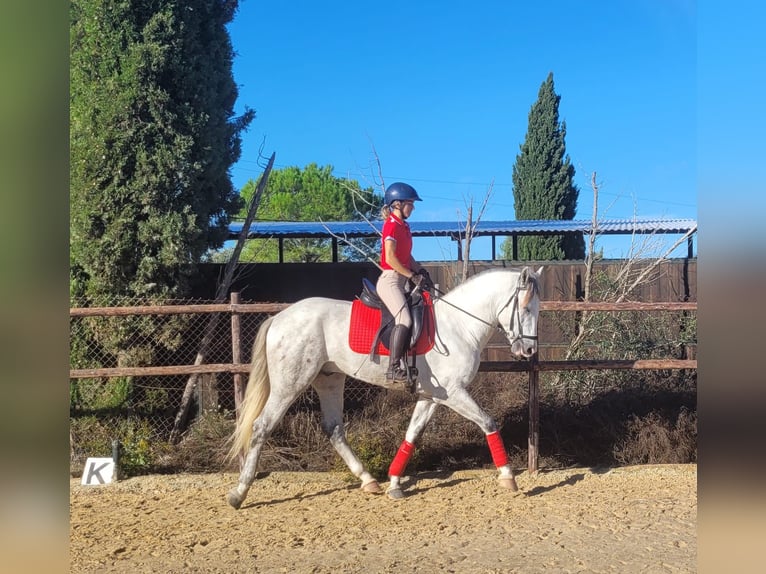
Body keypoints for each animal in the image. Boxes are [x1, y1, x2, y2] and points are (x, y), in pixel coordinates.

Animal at [225, 266, 544, 508]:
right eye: (526, 307)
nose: (529, 350)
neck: (459, 325)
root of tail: (279, 317)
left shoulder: (433, 397)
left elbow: (412, 434)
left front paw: (394, 482)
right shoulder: (453, 393)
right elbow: (488, 422)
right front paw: (508, 476)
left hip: (329, 379)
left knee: (334, 429)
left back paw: (369, 481)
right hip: (290, 383)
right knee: (262, 426)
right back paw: (239, 493)